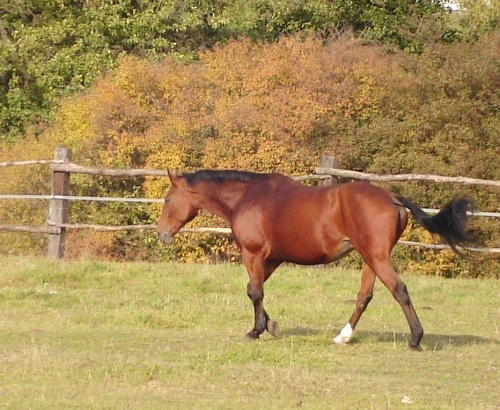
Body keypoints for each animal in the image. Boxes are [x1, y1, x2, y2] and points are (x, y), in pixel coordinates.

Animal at [155, 168, 472, 350]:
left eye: (168, 200)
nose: (161, 233)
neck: (247, 198)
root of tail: (392, 197)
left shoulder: (253, 254)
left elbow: (254, 291)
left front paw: (257, 330)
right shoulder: (272, 259)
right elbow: (256, 290)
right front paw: (270, 325)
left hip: (377, 258)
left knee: (399, 290)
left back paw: (415, 338)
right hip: (370, 258)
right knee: (364, 297)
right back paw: (343, 337)